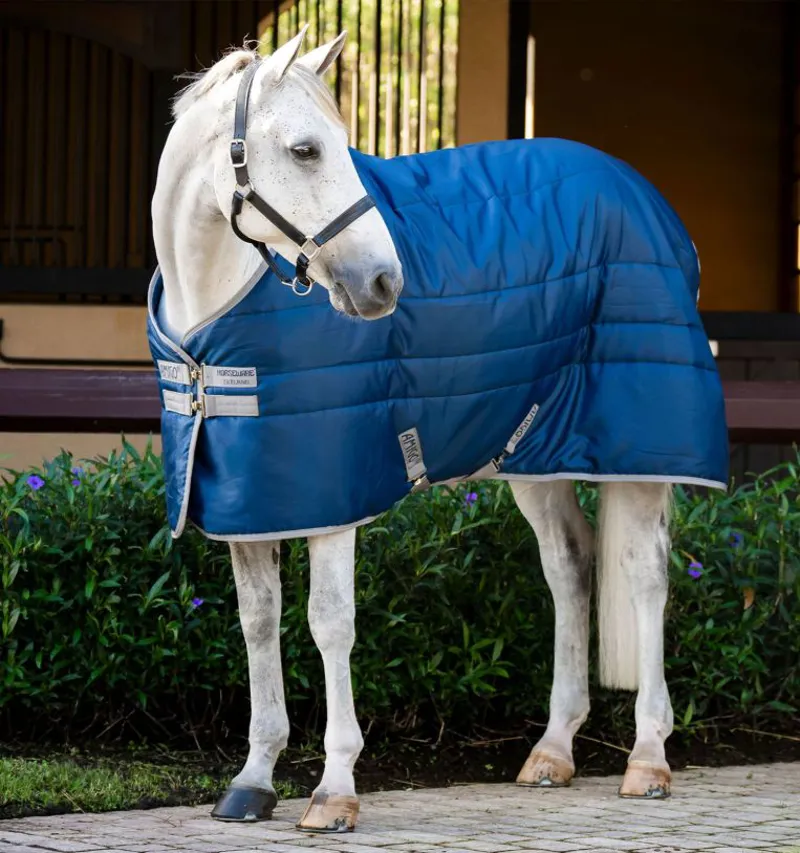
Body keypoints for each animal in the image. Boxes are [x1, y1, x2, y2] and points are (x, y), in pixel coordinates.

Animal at [150, 28, 728, 832]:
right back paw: (552, 750)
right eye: (304, 149)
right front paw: (253, 780)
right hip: (534, 455)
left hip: (637, 451)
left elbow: (329, 622)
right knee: (569, 565)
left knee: (645, 574)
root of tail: (648, 201)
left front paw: (334, 790)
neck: (213, 321)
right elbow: (258, 623)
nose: (383, 284)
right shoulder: (252, 499)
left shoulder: (334, 497)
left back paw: (648, 757)